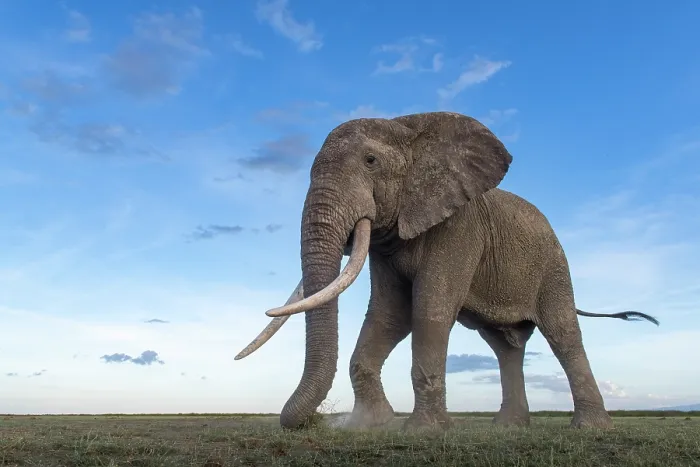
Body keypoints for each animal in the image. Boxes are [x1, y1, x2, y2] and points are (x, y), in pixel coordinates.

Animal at [235, 111, 659, 431]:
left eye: (370, 161)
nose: (313, 422)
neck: (409, 128)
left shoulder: (460, 228)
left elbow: (429, 309)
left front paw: (423, 432)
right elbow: (390, 315)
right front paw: (371, 426)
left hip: (553, 265)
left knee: (563, 333)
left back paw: (590, 428)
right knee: (505, 347)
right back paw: (508, 428)